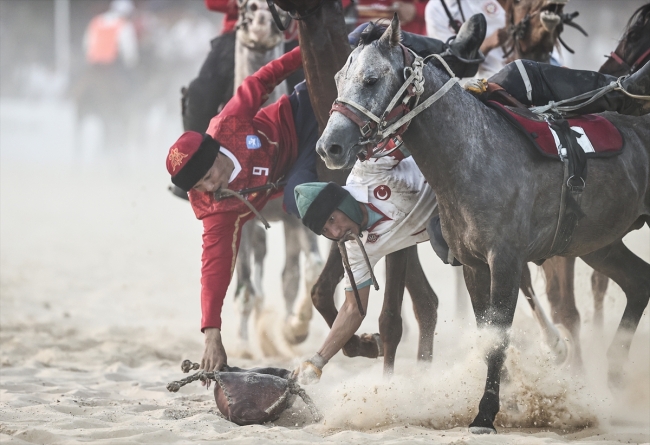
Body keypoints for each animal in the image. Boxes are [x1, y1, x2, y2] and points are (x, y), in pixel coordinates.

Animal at [314, 14, 644, 434]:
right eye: (340, 77)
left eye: (371, 79)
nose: (330, 147)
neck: (473, 153)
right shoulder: (473, 264)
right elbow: (485, 332)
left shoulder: (504, 261)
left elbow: (498, 335)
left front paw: (486, 414)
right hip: (599, 243)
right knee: (638, 282)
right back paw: (613, 378)